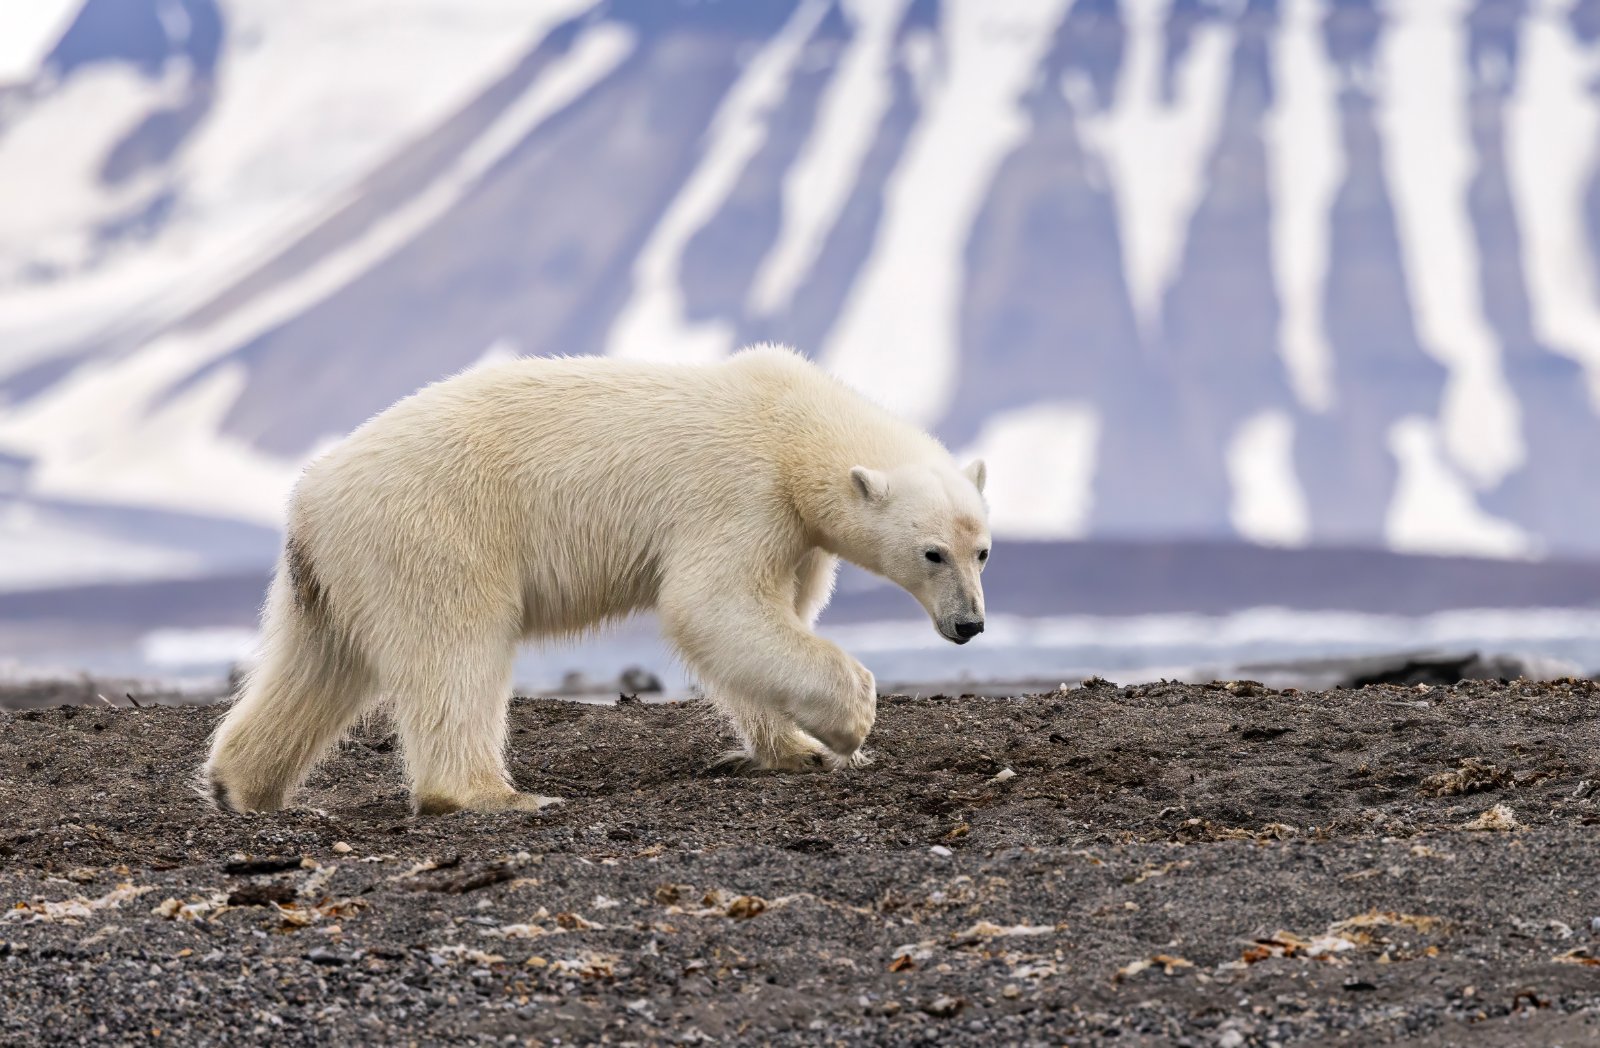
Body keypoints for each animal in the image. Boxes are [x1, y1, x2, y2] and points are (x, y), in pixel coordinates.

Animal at [203, 345, 991, 814]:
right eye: (932, 554)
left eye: (982, 551)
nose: (970, 623)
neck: (788, 422)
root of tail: (309, 497)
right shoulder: (739, 492)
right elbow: (711, 605)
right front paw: (851, 725)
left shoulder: (796, 532)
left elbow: (769, 619)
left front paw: (795, 749)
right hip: (436, 533)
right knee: (455, 652)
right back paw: (490, 795)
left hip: (335, 570)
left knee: (319, 663)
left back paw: (240, 783)